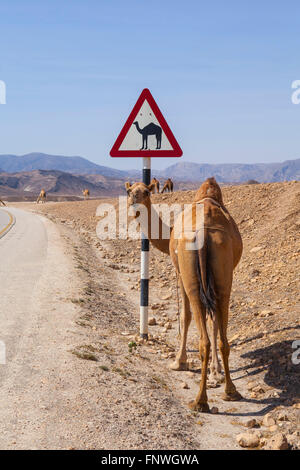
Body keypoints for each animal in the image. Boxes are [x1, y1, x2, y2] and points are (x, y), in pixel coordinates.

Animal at [126, 180, 241, 412]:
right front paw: (216, 372)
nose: (134, 199)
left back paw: (200, 401)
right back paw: (230, 391)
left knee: (203, 336)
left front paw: (179, 362)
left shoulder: (179, 272)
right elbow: (213, 322)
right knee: (221, 334)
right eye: (128, 190)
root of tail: (204, 233)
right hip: (224, 275)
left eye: (146, 191)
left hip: (191, 278)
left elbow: (185, 317)